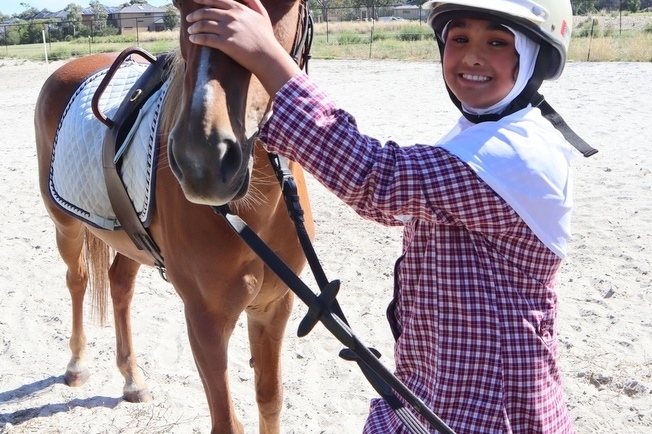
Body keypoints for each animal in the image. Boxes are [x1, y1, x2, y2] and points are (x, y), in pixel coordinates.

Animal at [34, 0, 314, 434]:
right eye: (181, 8)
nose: (204, 159)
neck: (253, 213)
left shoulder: (273, 307)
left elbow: (270, 400)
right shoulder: (205, 319)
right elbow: (227, 421)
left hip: (130, 239)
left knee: (119, 285)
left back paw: (132, 379)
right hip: (65, 224)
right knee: (78, 279)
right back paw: (77, 364)